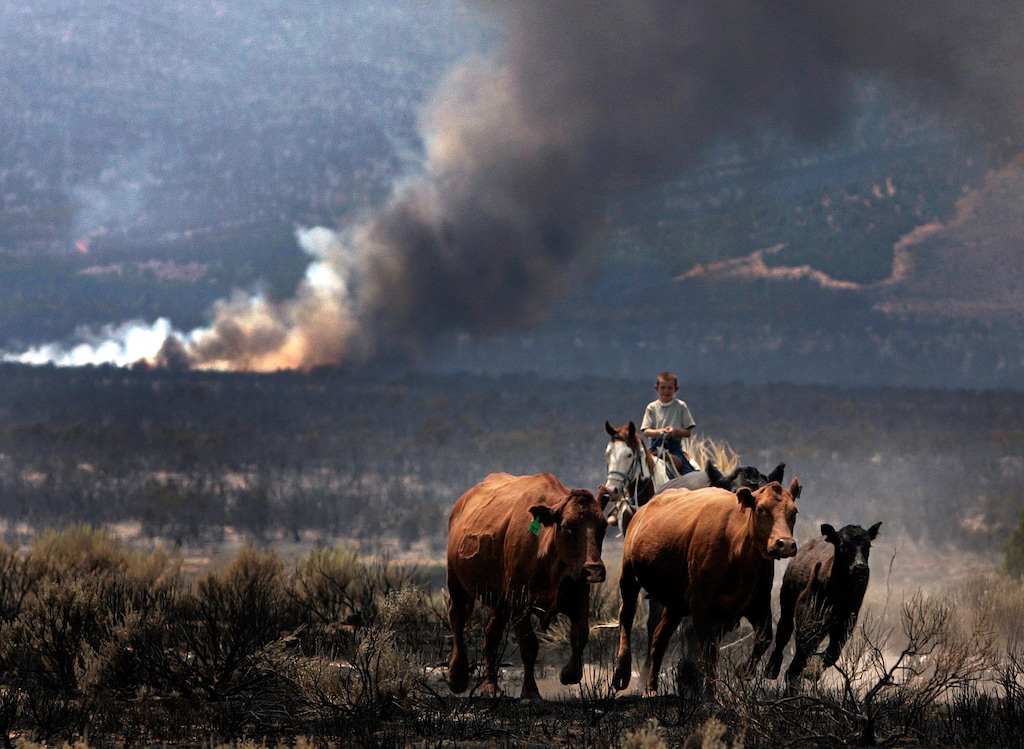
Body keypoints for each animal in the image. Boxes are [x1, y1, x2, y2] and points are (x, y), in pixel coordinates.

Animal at [446, 472, 609, 699]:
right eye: (567, 526)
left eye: (603, 526)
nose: (593, 569)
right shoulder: (518, 603)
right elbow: (529, 646)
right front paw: (530, 692)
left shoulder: (579, 597)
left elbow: (579, 635)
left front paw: (569, 673)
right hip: (457, 583)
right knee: (458, 617)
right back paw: (457, 676)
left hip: (500, 601)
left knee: (491, 635)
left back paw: (490, 686)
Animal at [612, 479, 800, 697]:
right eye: (761, 509)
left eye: (794, 511)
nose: (785, 544)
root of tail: (642, 510)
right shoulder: (701, 606)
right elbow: (709, 651)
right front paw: (710, 694)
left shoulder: (757, 605)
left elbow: (764, 639)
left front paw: (743, 671)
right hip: (628, 576)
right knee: (626, 616)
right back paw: (621, 673)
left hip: (675, 603)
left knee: (659, 638)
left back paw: (650, 689)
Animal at [765, 522, 882, 686]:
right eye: (842, 545)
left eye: (868, 545)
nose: (860, 568)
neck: (838, 592)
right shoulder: (807, 616)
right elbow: (802, 649)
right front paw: (806, 671)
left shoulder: (847, 621)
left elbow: (833, 653)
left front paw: (813, 671)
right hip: (787, 599)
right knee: (784, 631)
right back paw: (772, 668)